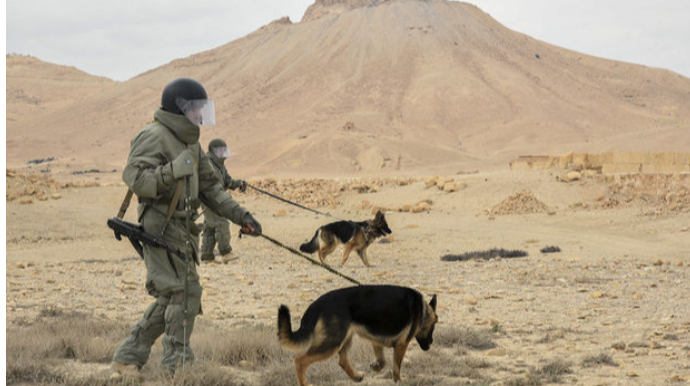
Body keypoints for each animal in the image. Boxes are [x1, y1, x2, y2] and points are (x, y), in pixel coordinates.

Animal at [276, 284, 432, 384]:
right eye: (432, 327)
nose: (430, 344)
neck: (422, 308)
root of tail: (316, 305)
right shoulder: (401, 344)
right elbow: (396, 367)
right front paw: (398, 380)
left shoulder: (376, 338)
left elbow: (382, 360)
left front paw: (376, 367)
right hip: (332, 343)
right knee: (300, 361)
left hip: (345, 338)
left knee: (343, 360)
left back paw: (356, 377)